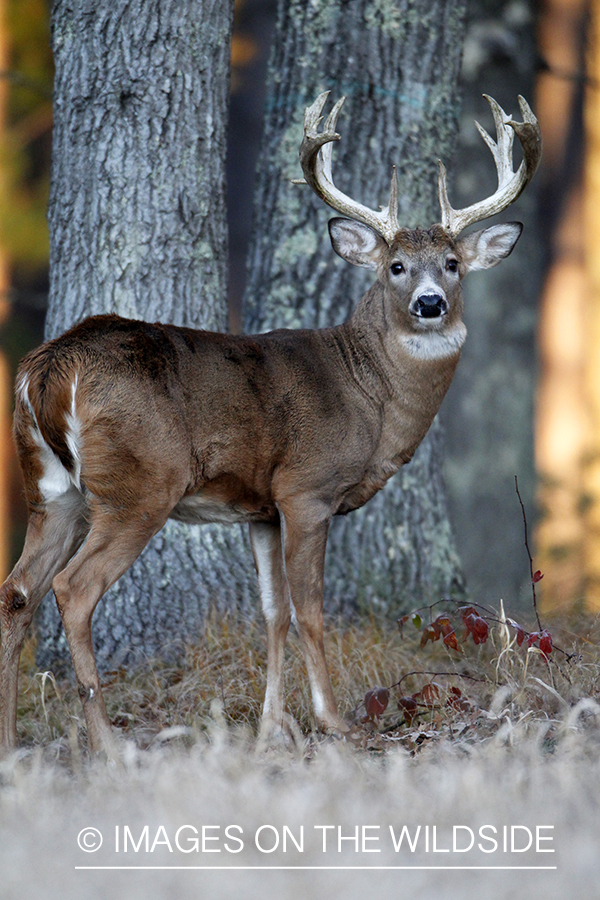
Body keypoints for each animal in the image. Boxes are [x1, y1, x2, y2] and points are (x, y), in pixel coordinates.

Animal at [0, 91, 540, 756]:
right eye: (394, 265)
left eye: (453, 263)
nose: (430, 303)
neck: (369, 394)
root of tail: (49, 366)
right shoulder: (307, 488)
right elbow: (310, 608)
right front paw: (334, 720)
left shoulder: (259, 508)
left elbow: (272, 613)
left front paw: (271, 728)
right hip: (140, 484)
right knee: (73, 590)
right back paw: (108, 743)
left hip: (51, 488)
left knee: (17, 591)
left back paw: (10, 741)